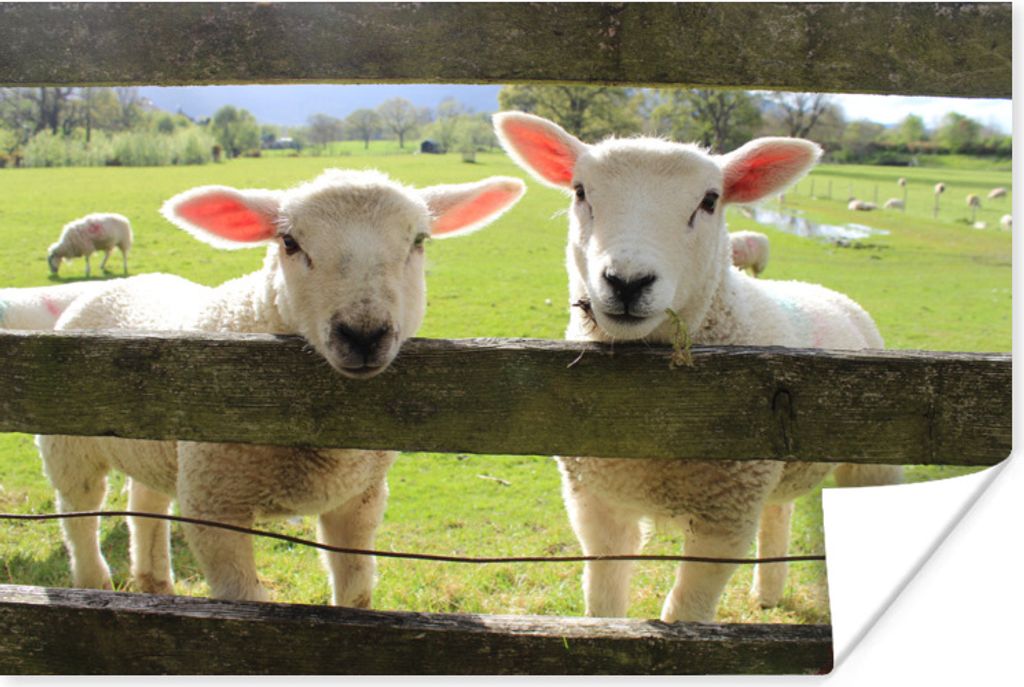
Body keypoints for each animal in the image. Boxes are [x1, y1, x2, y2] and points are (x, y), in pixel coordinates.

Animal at [33, 169, 525, 604]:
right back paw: (94, 584)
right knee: (79, 513)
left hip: (156, 450)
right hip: (68, 445)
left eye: (419, 241)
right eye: (289, 242)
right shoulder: (214, 506)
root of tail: (118, 284)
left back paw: (155, 584)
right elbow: (246, 601)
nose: (363, 334)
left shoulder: (359, 499)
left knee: (145, 501)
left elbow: (357, 592)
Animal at [494, 112, 901, 624]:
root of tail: (823, 291)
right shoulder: (595, 504)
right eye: (580, 191)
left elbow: (685, 612)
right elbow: (605, 602)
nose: (627, 282)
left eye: (710, 201)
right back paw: (768, 593)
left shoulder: (726, 518)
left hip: (871, 459)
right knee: (779, 510)